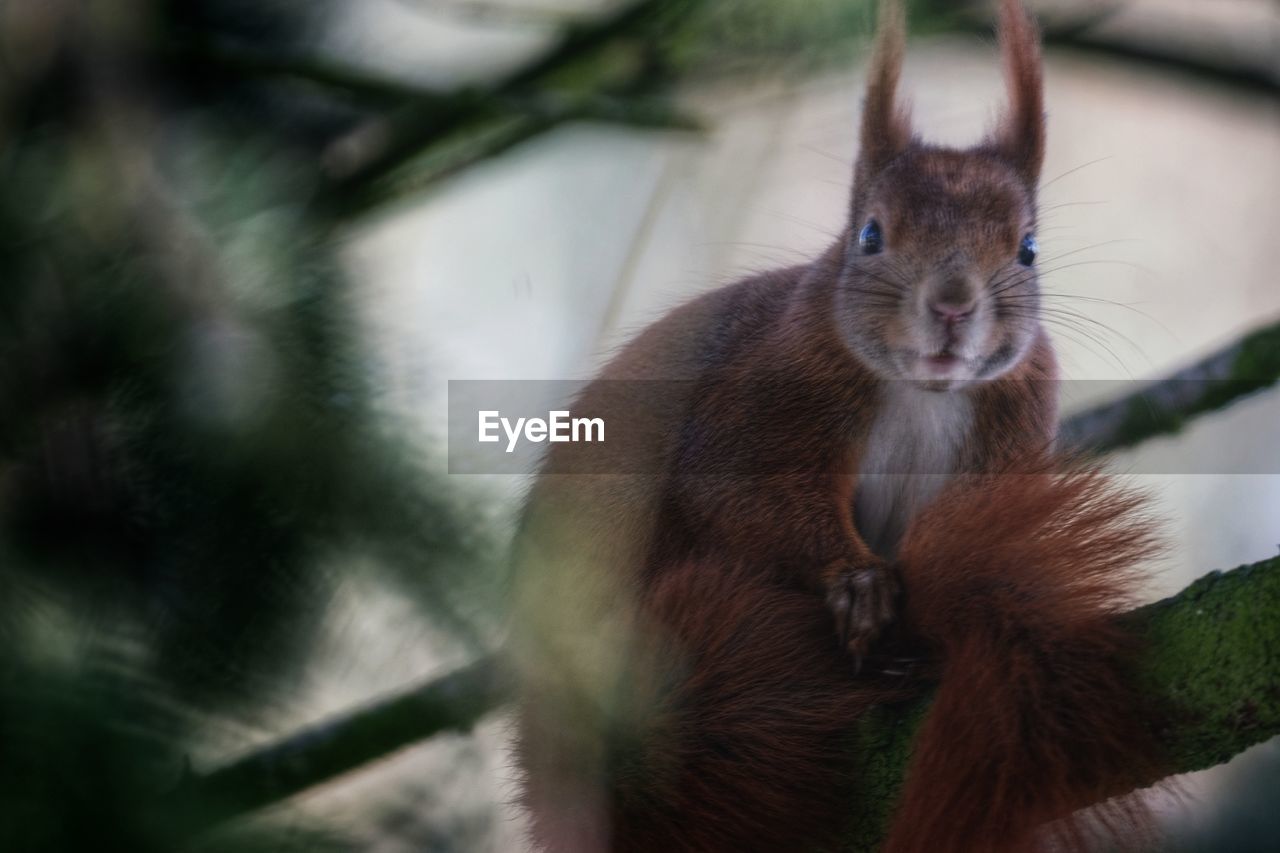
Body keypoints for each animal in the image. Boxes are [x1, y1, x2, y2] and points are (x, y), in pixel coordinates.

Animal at [506, 3, 1162, 845]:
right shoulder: (763, 402)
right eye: (870, 235)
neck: (920, 390)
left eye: (1028, 248)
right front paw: (858, 584)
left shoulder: (1010, 435)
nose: (952, 305)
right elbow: (739, 496)